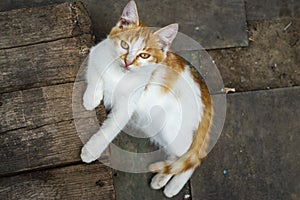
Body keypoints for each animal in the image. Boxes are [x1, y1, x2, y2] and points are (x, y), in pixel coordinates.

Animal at [81, 0, 213, 198]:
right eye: (124, 45)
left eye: (144, 55)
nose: (127, 62)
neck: (120, 74)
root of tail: (204, 91)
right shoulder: (96, 52)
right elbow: (96, 72)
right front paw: (92, 98)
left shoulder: (126, 107)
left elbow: (110, 130)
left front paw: (91, 150)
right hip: (155, 128)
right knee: (179, 156)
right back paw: (162, 179)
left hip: (173, 129)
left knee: (194, 156)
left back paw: (173, 186)